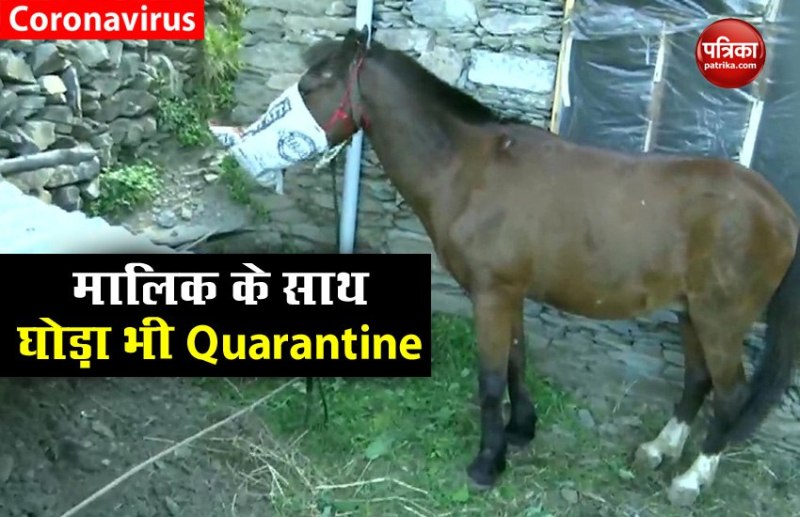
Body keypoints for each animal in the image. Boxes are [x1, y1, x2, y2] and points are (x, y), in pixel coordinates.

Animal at [290, 26, 800, 506]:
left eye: (312, 84)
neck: (471, 170)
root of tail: (779, 208)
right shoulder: (507, 294)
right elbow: (517, 361)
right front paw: (520, 430)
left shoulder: (492, 295)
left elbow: (491, 380)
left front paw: (487, 463)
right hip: (691, 312)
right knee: (697, 380)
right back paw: (660, 449)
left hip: (720, 319)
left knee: (731, 395)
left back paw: (692, 478)